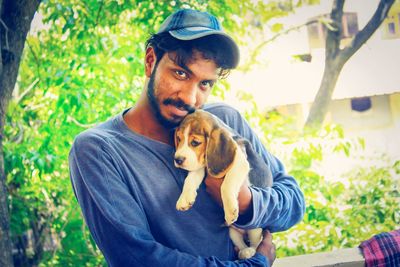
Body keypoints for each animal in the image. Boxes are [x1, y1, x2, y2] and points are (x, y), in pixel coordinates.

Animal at [174, 109, 272, 260]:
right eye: (179, 139)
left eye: (195, 142)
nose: (177, 159)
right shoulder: (202, 165)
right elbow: (190, 180)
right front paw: (184, 199)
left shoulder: (240, 164)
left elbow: (226, 185)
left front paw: (230, 209)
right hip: (231, 231)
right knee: (240, 242)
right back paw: (244, 252)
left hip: (256, 227)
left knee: (257, 242)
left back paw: (251, 252)